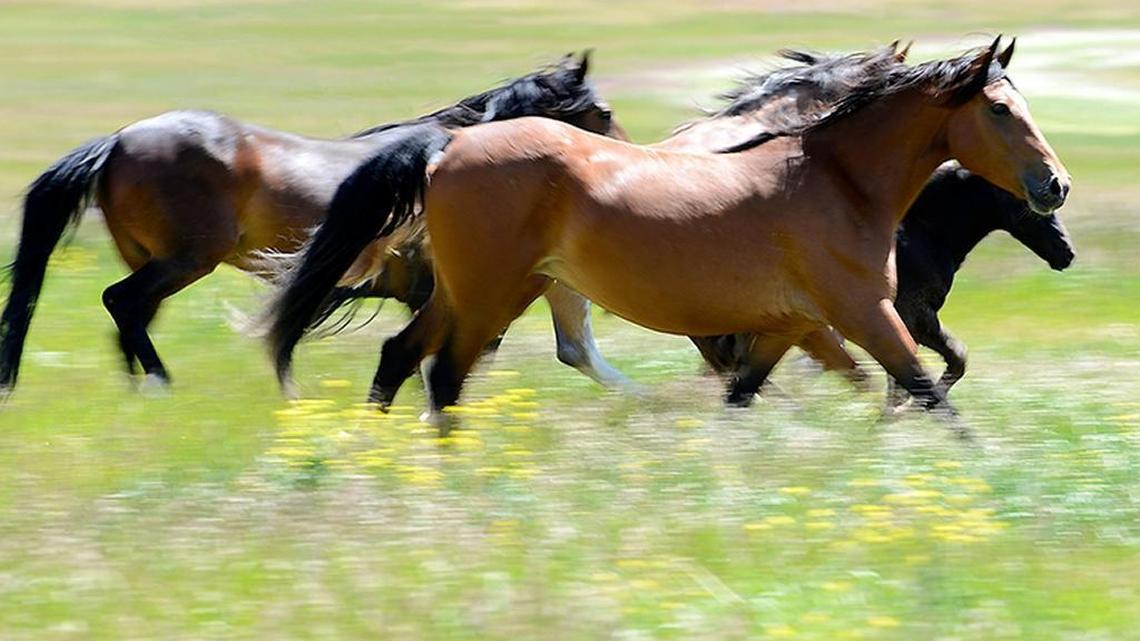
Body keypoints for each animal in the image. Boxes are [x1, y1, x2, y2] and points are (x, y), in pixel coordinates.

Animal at [0, 53, 621, 396]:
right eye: (604, 112)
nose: (619, 159)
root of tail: (118, 141)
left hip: (153, 259)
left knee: (130, 317)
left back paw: (140, 392)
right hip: (186, 259)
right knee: (122, 303)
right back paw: (159, 387)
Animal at [266, 37, 1070, 435]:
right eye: (1000, 109)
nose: (1056, 185)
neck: (837, 183)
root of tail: (448, 145)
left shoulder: (791, 326)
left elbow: (743, 398)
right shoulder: (866, 315)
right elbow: (928, 391)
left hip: (493, 289)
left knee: (403, 356)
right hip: (491, 293)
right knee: (445, 374)